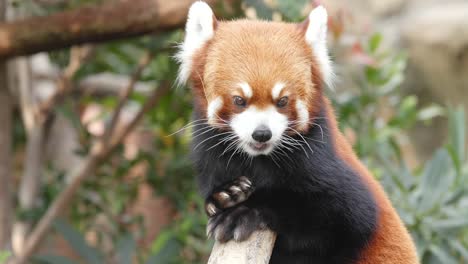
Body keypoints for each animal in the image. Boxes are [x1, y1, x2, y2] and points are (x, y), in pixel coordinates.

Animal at [176, 2, 416, 264]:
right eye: (239, 100)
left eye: (282, 101)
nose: (262, 134)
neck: (258, 159)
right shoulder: (211, 154)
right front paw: (225, 194)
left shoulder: (326, 165)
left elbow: (328, 212)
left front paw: (244, 211)